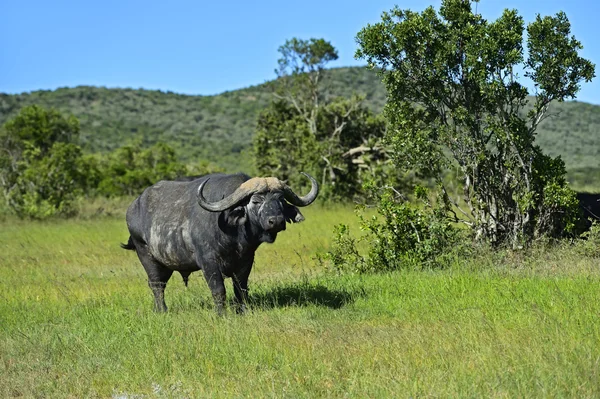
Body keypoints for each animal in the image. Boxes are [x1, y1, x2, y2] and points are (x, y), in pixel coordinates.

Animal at [120, 173, 318, 314]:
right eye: (256, 200)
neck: (234, 236)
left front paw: (242, 311)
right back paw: (162, 310)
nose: (276, 221)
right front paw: (221, 314)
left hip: (166, 263)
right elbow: (218, 290)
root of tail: (132, 208)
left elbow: (241, 289)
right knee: (157, 285)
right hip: (147, 256)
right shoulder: (209, 263)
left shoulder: (246, 262)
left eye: (281, 200)